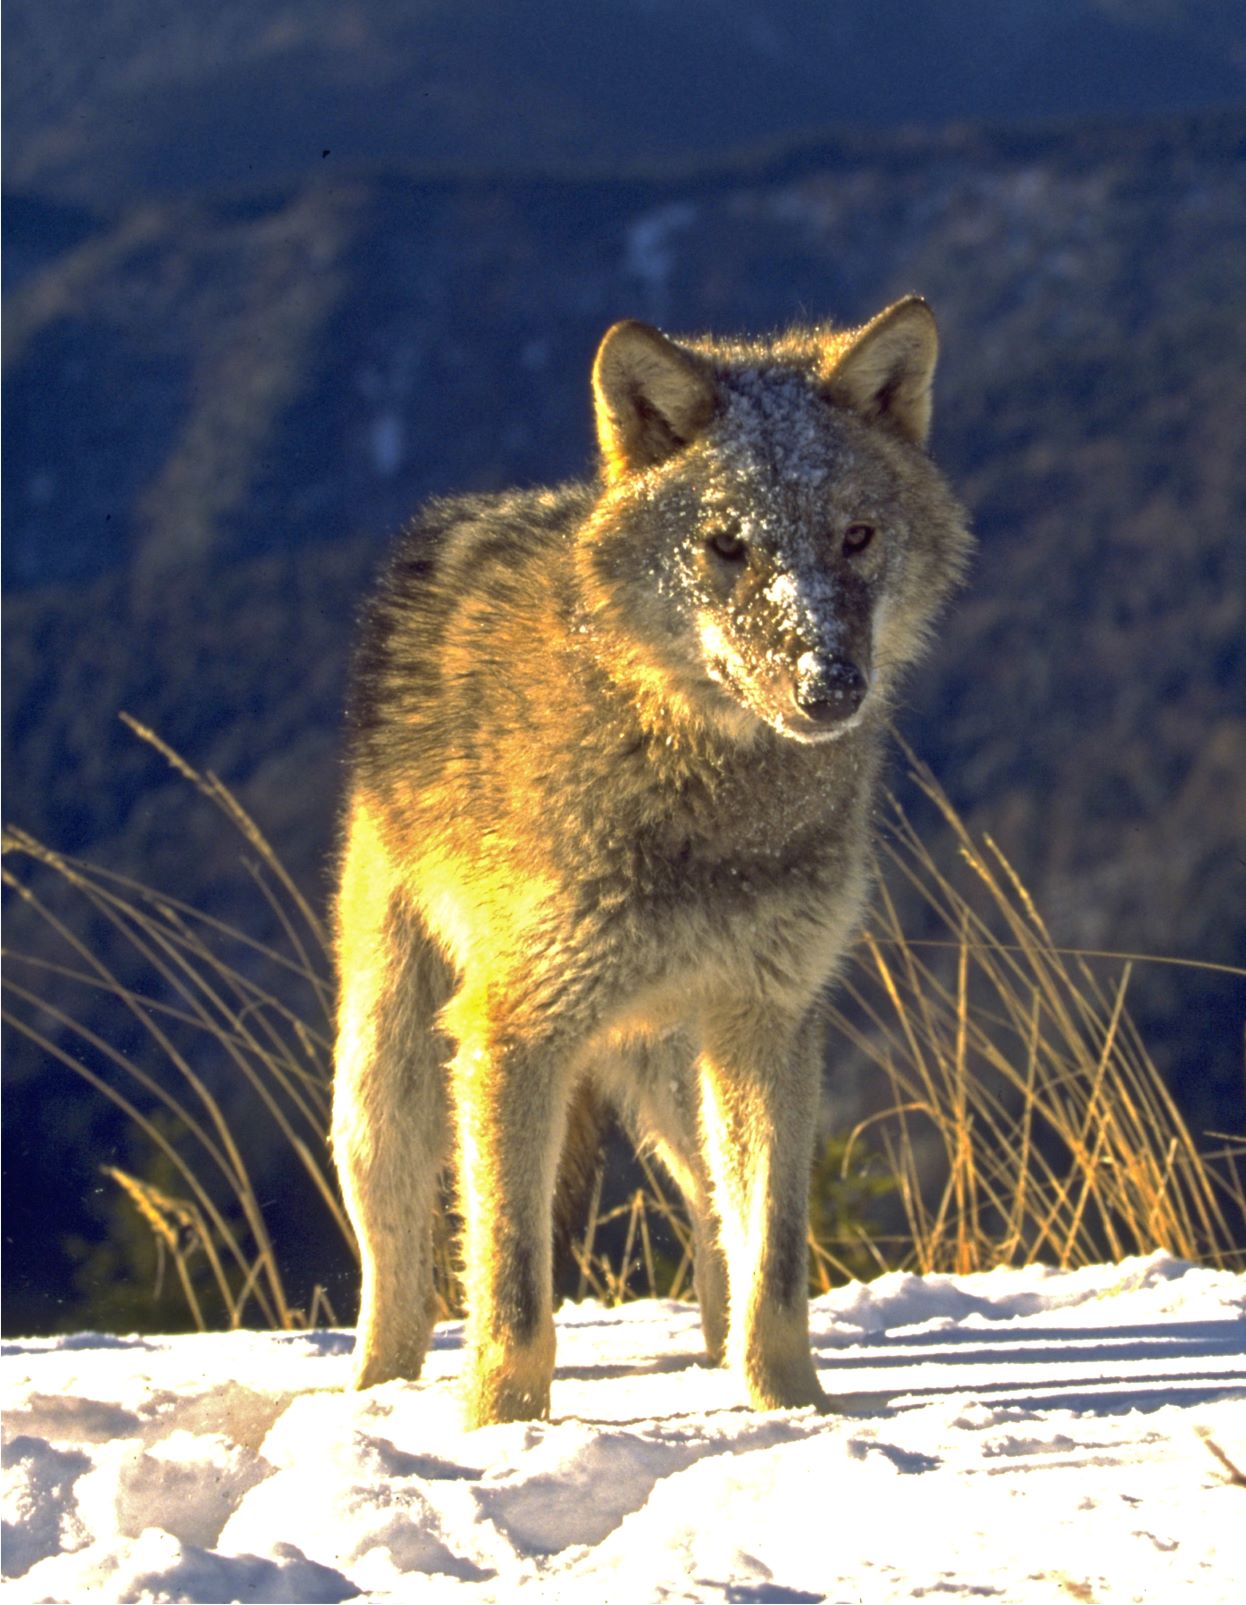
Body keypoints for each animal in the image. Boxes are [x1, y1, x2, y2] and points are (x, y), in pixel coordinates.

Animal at [330, 295, 976, 1425]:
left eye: (855, 536)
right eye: (725, 545)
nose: (829, 686)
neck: (712, 811)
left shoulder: (772, 1022)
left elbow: (776, 1263)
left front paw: (793, 1414)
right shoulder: (512, 1036)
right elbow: (512, 1289)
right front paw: (502, 1433)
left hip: (682, 1072)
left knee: (715, 1224)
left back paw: (715, 1368)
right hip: (383, 1080)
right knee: (396, 1273)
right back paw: (371, 1404)